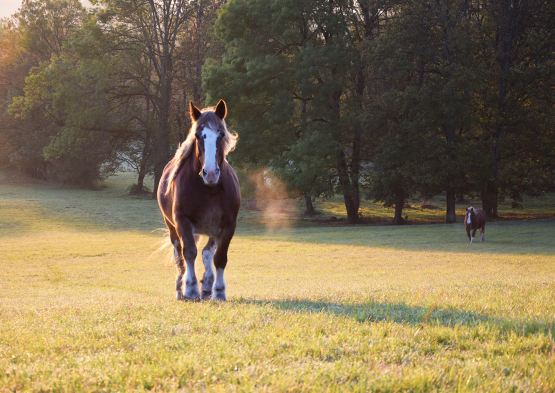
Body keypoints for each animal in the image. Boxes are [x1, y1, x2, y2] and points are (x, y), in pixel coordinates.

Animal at [157, 99, 242, 298]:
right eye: (197, 135)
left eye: (221, 134)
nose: (210, 173)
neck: (209, 190)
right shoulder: (182, 221)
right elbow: (188, 253)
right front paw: (190, 288)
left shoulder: (228, 224)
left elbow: (219, 257)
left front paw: (219, 291)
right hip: (172, 227)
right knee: (179, 255)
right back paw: (181, 287)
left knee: (206, 253)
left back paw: (207, 285)